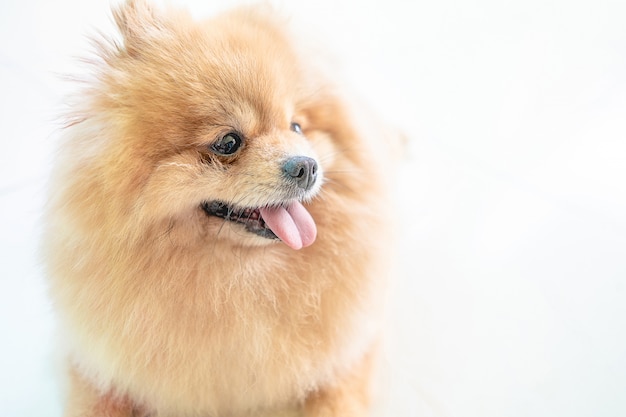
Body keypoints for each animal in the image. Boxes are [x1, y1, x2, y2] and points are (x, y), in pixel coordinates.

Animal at [41, 1, 398, 414]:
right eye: (228, 142)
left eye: (296, 127)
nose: (307, 166)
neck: (237, 279)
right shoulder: (98, 365)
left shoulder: (346, 359)